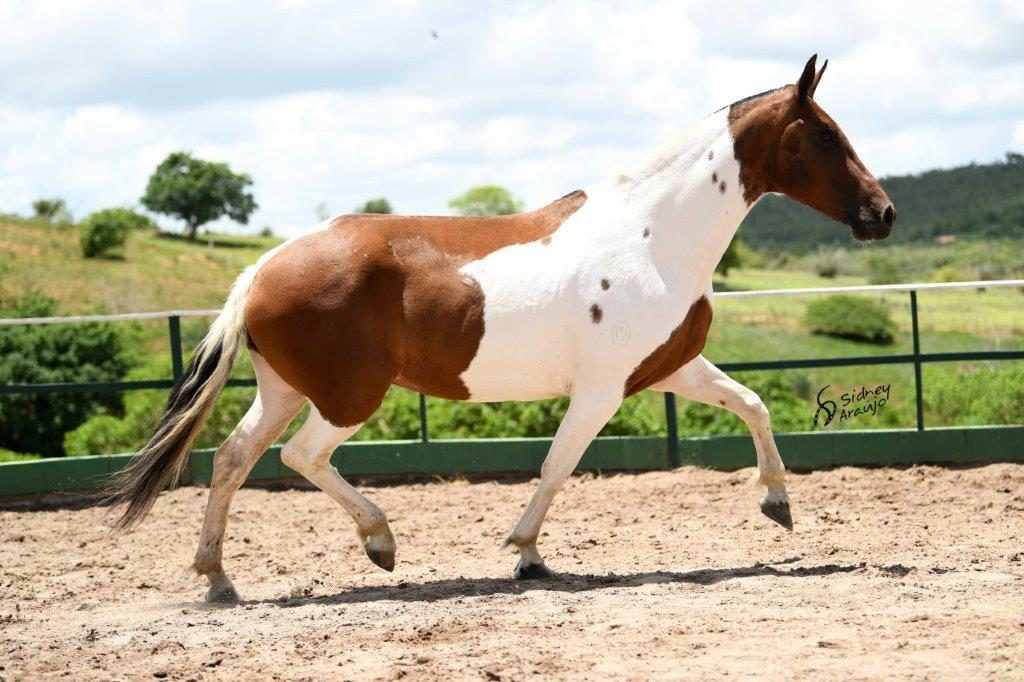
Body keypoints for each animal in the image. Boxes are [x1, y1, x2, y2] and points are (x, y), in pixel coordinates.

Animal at [101, 54, 888, 602]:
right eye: (824, 134)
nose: (883, 214)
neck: (653, 236)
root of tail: (261, 270)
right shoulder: (603, 391)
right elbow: (558, 465)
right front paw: (527, 554)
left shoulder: (669, 368)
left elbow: (752, 404)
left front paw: (778, 503)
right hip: (347, 398)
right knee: (301, 457)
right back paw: (379, 542)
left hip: (284, 390)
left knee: (232, 459)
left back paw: (218, 579)